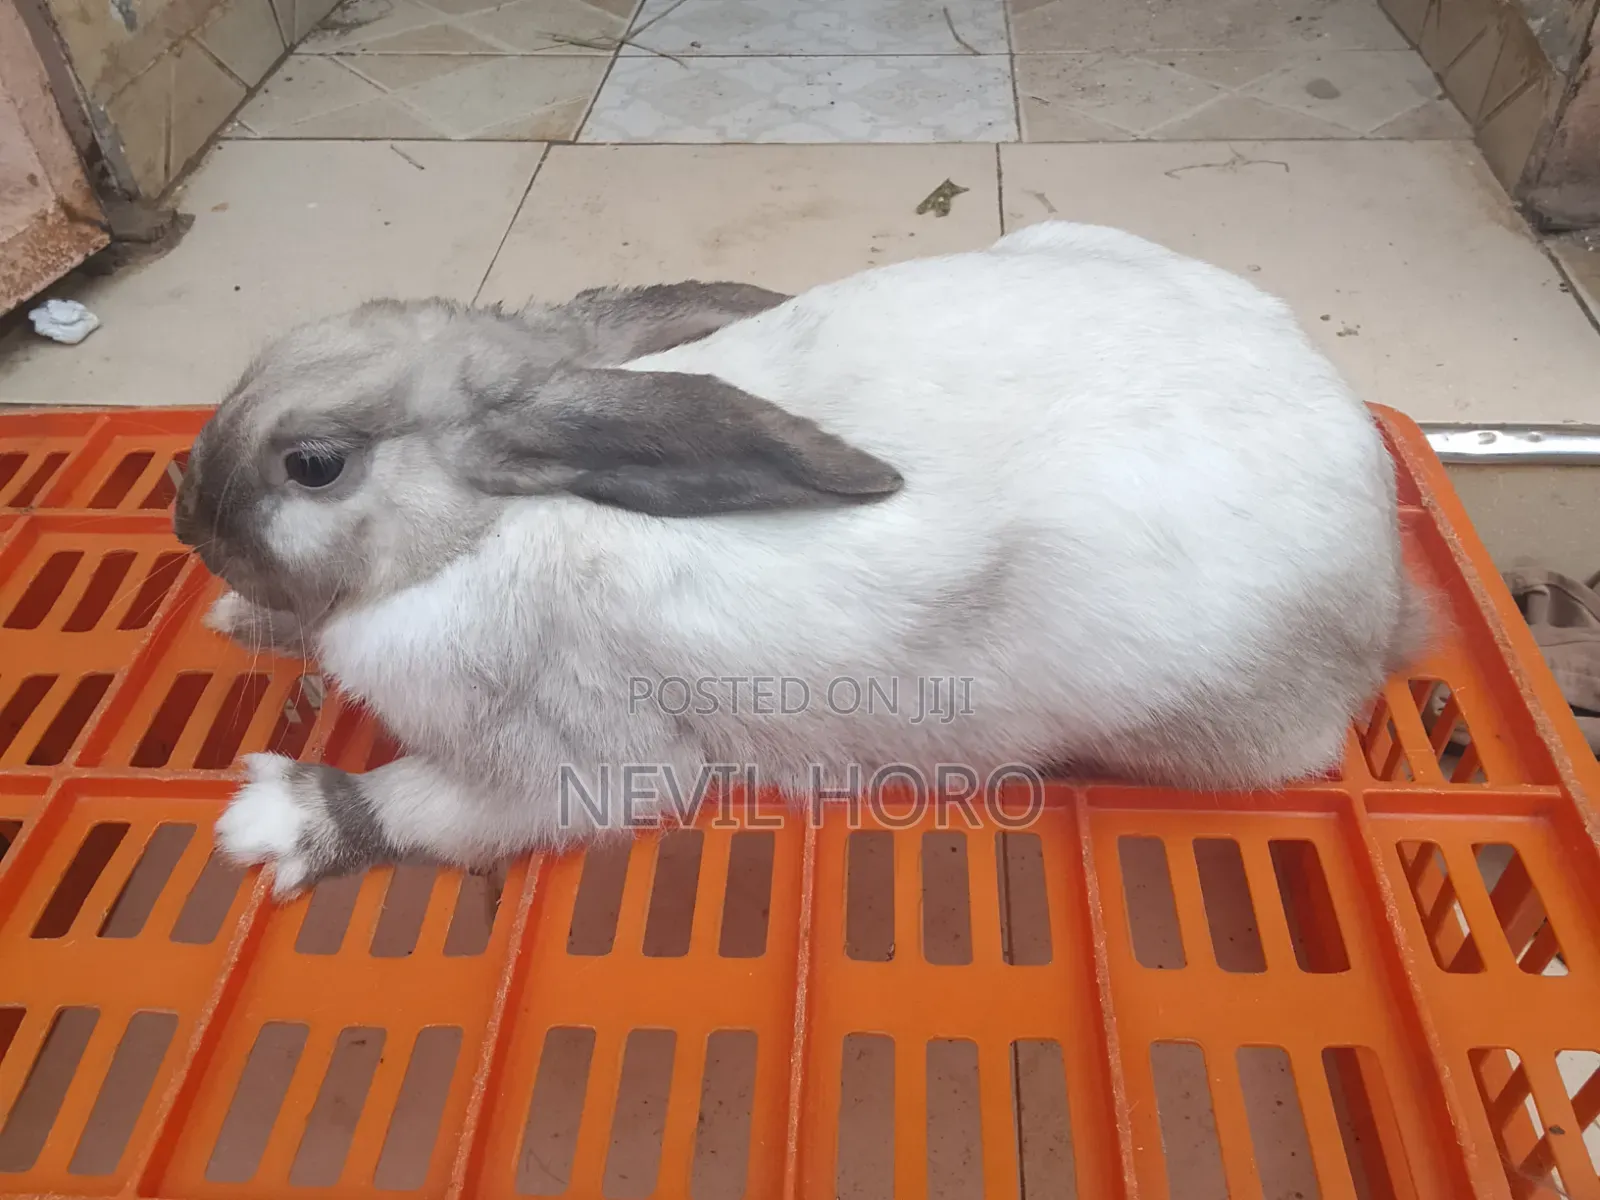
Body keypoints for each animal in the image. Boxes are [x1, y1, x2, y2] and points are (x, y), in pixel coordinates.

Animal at [174, 220, 1430, 900]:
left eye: (315, 465)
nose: (187, 522)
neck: (488, 526)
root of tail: (1385, 588)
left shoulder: (571, 763)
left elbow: (429, 811)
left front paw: (270, 822)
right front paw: (241, 624)